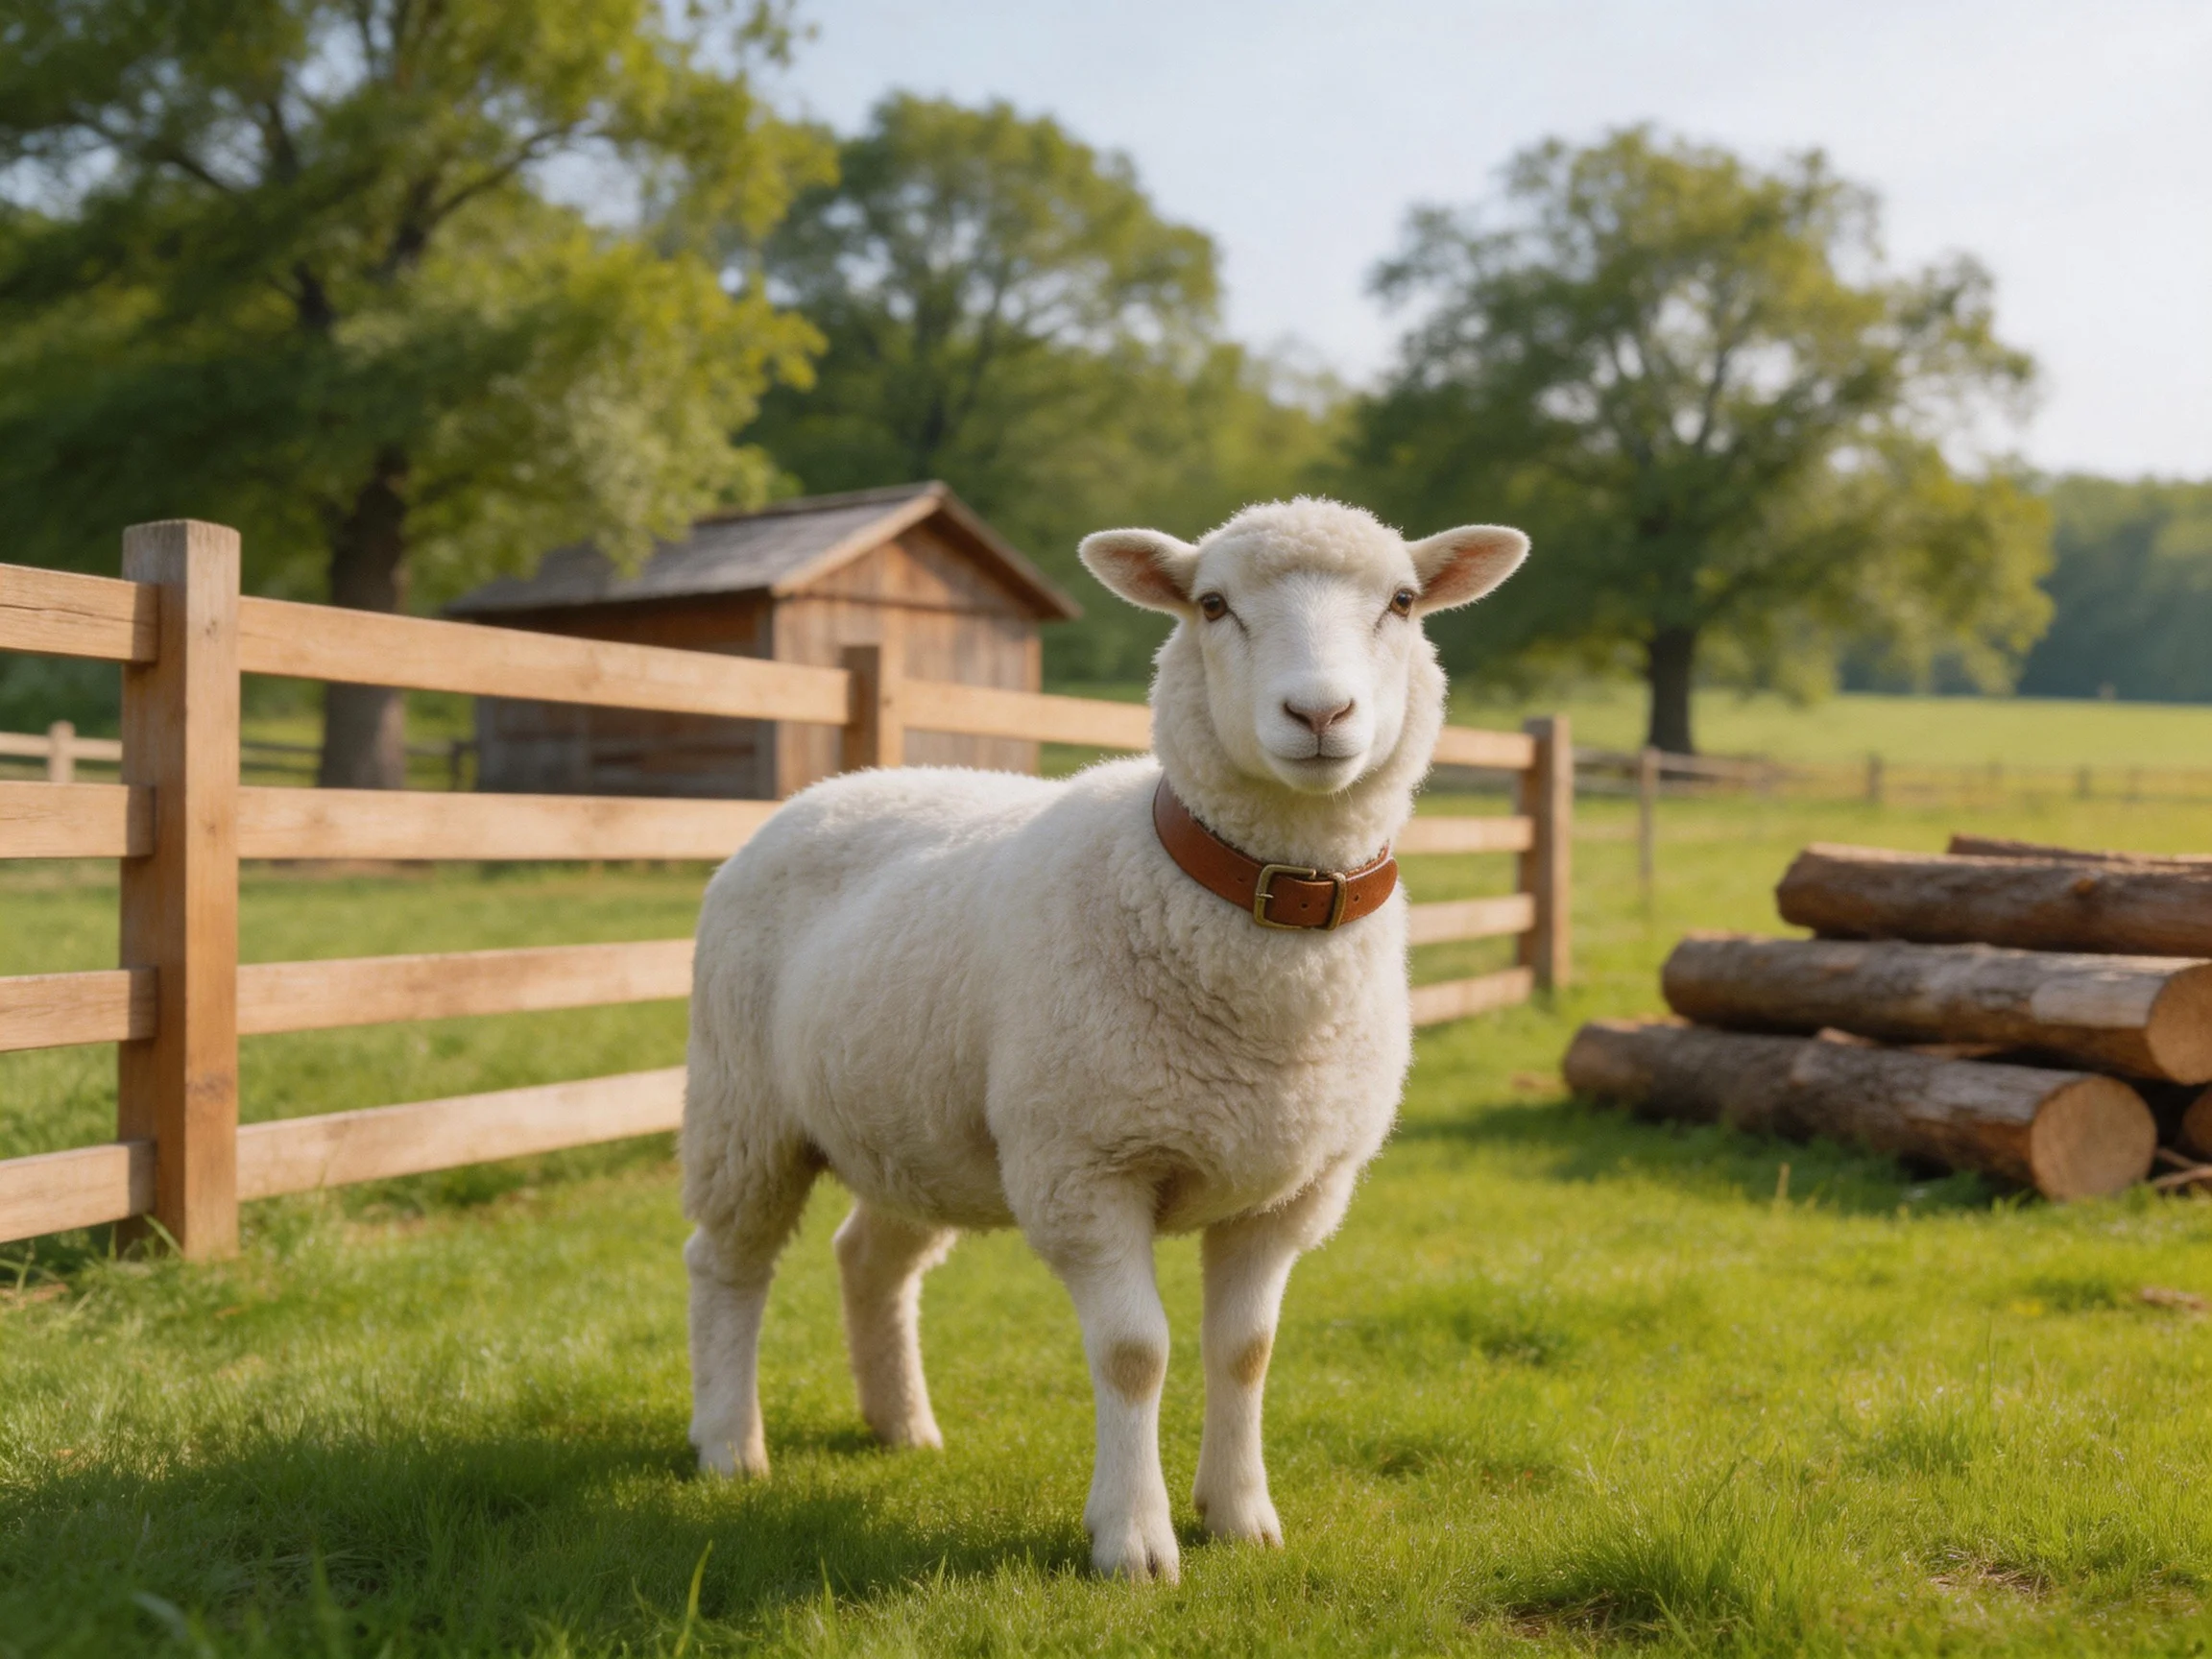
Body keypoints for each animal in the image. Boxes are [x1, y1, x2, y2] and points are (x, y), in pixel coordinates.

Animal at [681, 496, 1529, 1582]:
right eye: (1212, 605)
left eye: (1405, 602)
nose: (1320, 716)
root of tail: (833, 785)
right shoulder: (1088, 1169)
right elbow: (1135, 1354)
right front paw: (1134, 1541)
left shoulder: (1288, 1190)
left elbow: (1244, 1351)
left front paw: (1240, 1516)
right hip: (745, 1108)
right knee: (728, 1263)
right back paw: (728, 1446)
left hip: (919, 1127)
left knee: (871, 1258)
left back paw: (901, 1427)